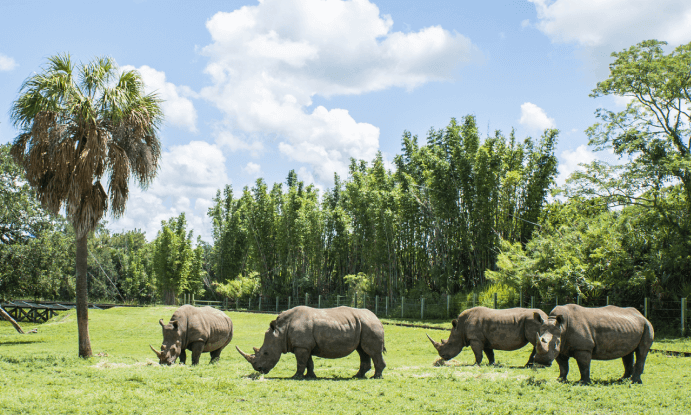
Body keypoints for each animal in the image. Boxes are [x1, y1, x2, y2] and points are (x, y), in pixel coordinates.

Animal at [236, 306, 386, 379]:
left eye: (266, 353)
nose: (258, 369)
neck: (281, 331)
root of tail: (377, 318)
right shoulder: (304, 346)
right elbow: (308, 362)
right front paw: (310, 376)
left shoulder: (301, 346)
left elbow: (301, 362)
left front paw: (296, 377)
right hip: (363, 325)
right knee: (362, 351)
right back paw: (357, 376)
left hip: (370, 325)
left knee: (372, 352)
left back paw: (376, 377)